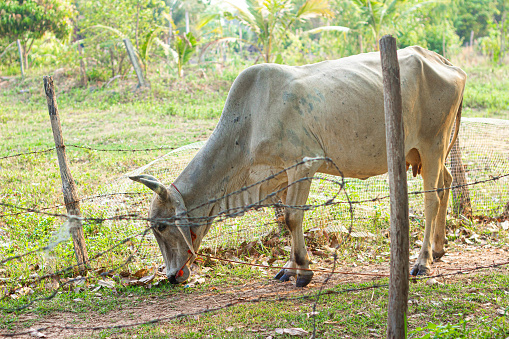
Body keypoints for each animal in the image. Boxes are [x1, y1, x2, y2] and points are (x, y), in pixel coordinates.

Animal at [130, 46, 464, 288]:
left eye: (161, 226)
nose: (171, 275)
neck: (249, 124)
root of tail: (445, 62)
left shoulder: (304, 165)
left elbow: (292, 218)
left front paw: (303, 270)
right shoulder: (280, 176)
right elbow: (288, 218)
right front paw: (289, 268)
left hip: (432, 145)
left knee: (432, 198)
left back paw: (422, 261)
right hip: (427, 151)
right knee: (448, 182)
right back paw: (438, 248)